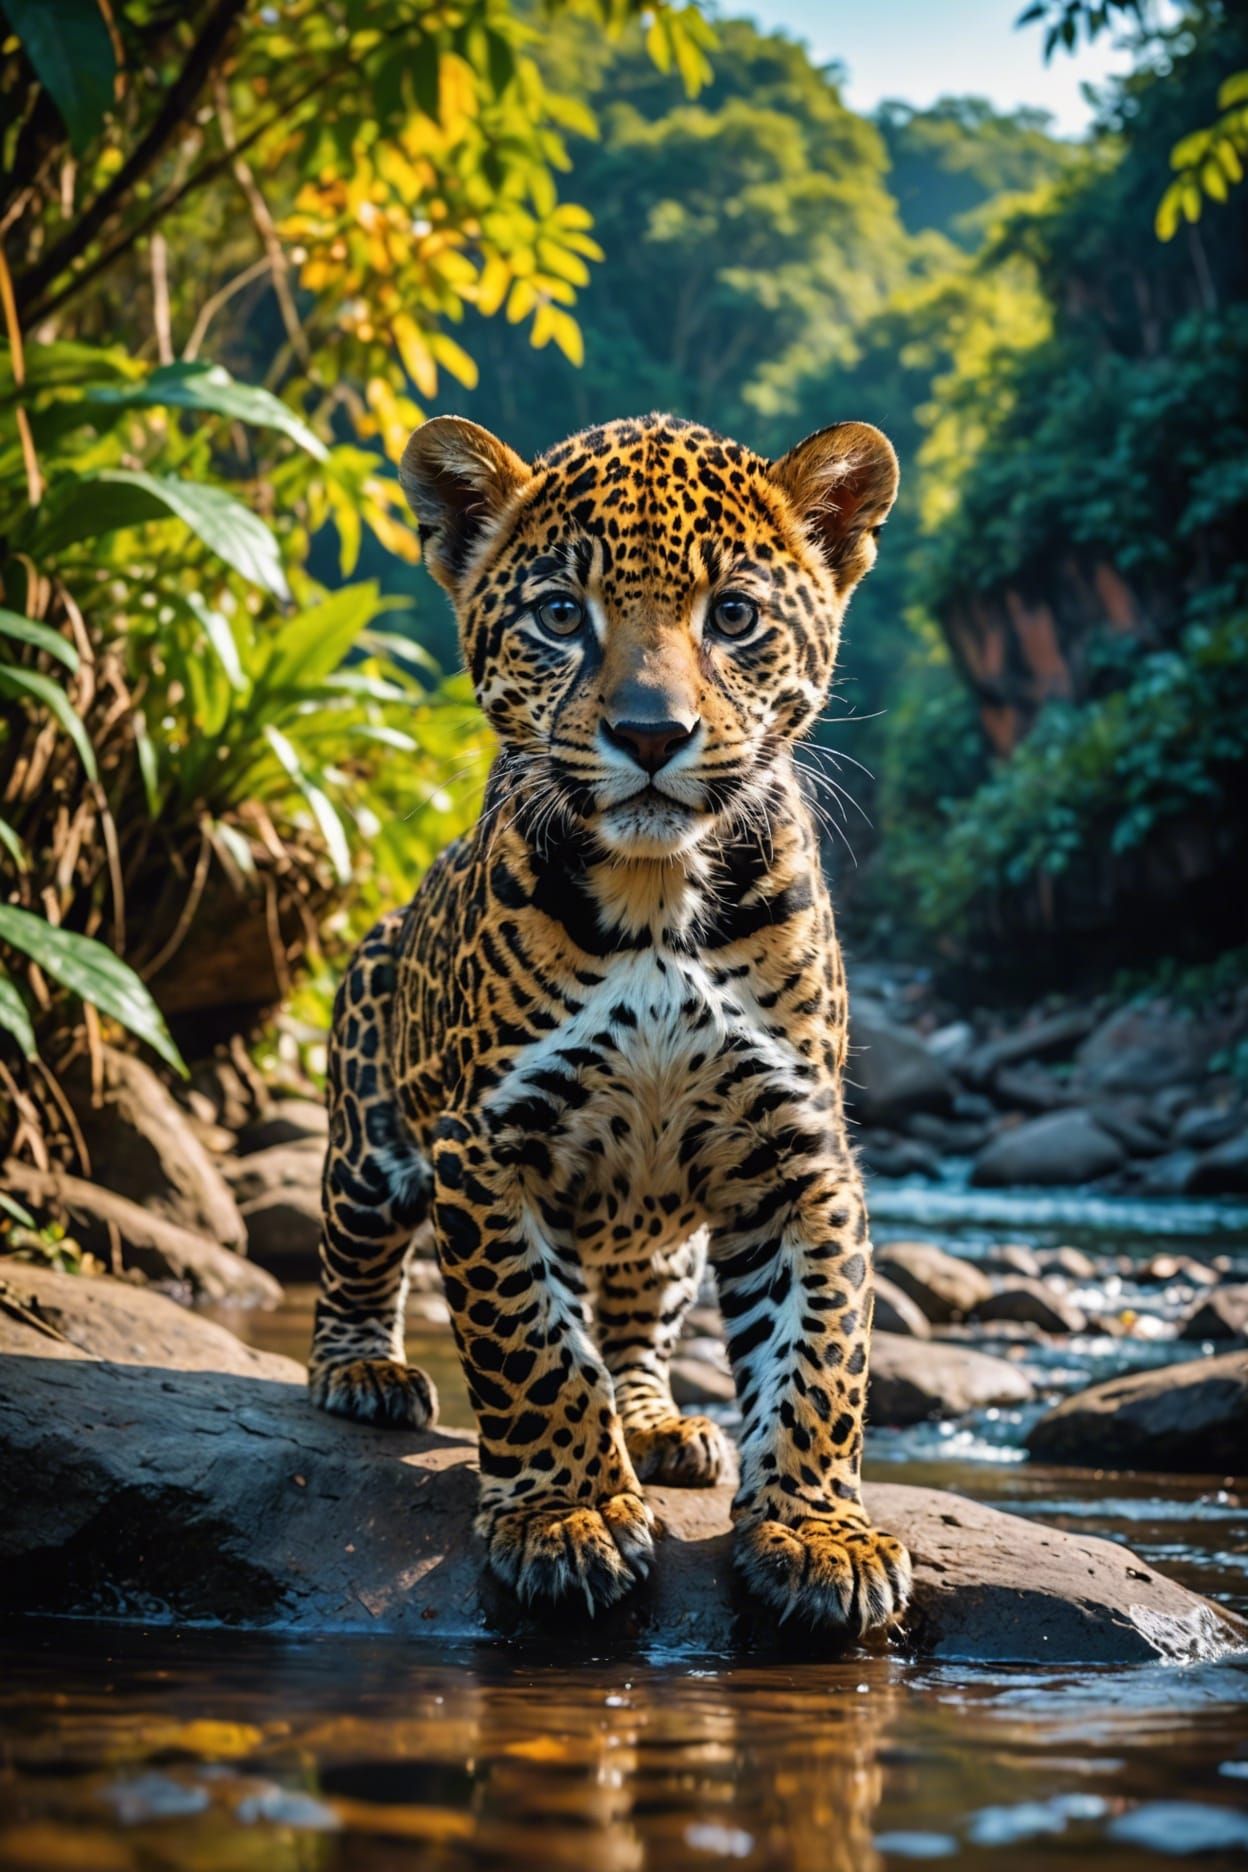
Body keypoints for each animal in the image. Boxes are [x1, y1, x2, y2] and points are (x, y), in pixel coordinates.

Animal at [308, 409, 911, 1634]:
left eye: (732, 615)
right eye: (558, 616)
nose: (649, 733)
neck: (657, 898)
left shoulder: (799, 1152)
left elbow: (820, 1355)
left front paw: (820, 1534)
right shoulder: (486, 1144)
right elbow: (531, 1345)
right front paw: (568, 1516)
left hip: (664, 1242)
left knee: (634, 1322)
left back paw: (658, 1423)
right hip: (370, 1139)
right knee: (354, 1256)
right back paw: (363, 1371)